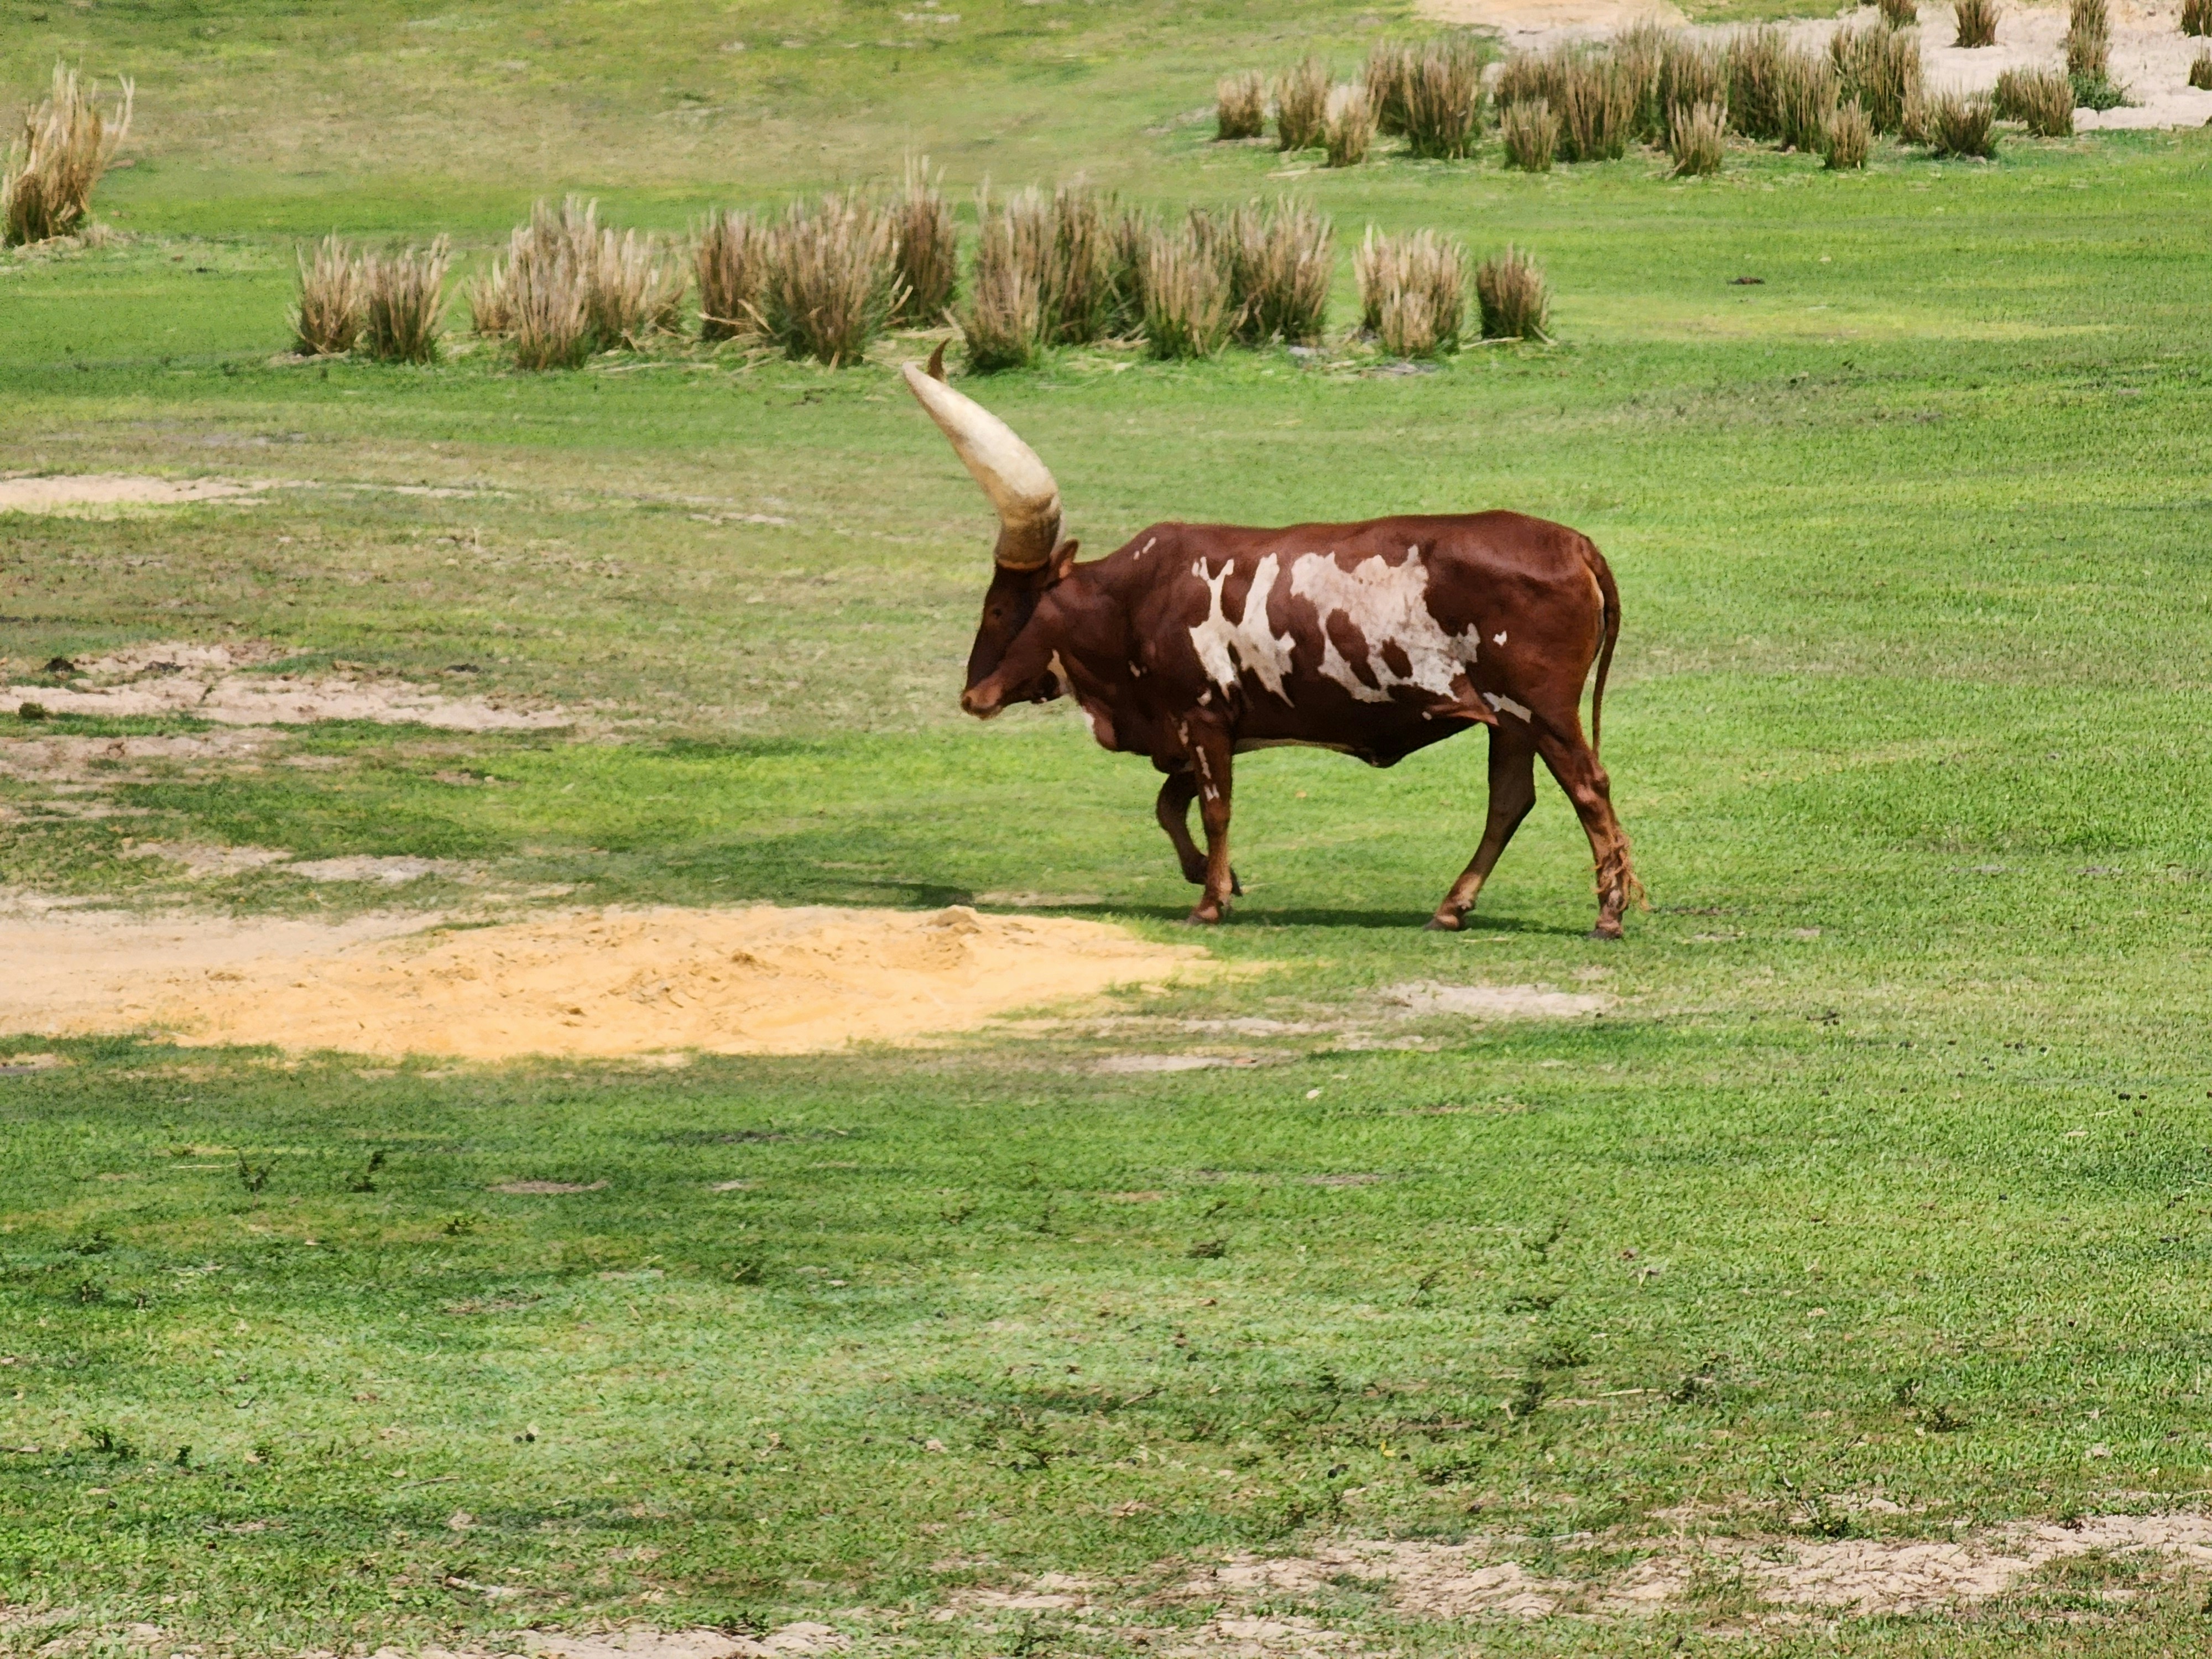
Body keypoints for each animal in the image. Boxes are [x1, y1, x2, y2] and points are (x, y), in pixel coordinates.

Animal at [902, 349, 1641, 938]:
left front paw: (1208, 901)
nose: (972, 696)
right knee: (1510, 801)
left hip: (1543, 710)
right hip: (1508, 721)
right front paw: (1217, 879)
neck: (1134, 597)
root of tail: (1572, 542)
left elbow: (1213, 808)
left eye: (999, 607)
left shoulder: (1200, 717)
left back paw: (1607, 914)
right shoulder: (1206, 727)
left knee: (1587, 789)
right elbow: (1171, 805)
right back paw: (1453, 906)